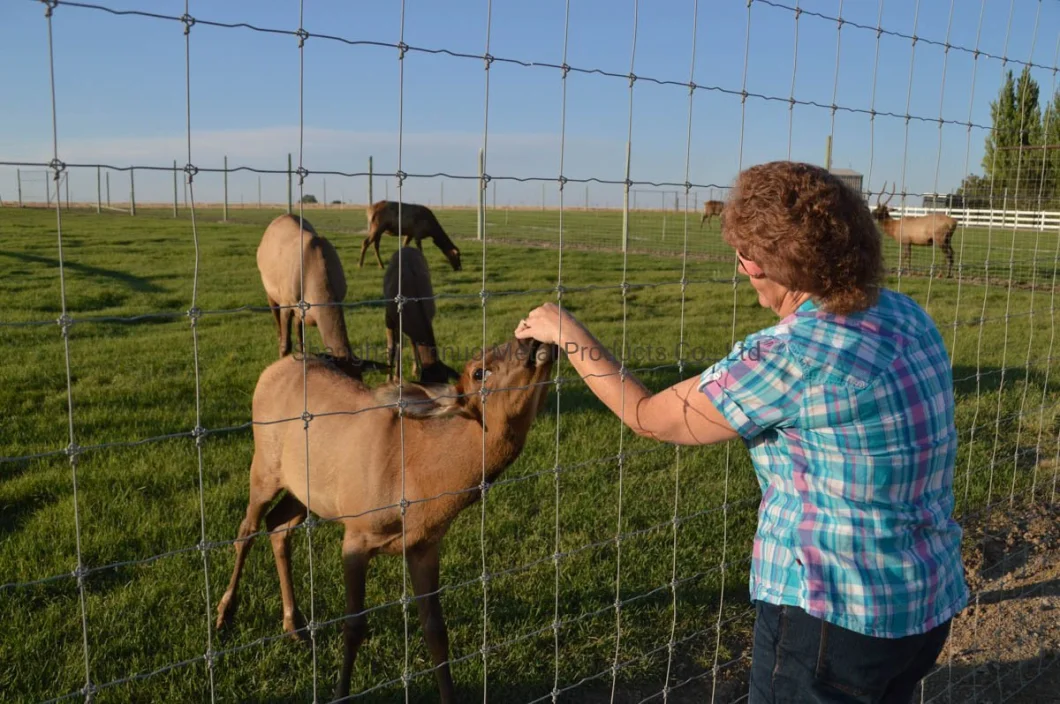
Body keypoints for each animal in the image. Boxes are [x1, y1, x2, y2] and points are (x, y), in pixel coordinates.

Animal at [211, 335, 559, 704]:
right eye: (480, 371)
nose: (532, 340)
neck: (420, 486)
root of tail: (272, 369)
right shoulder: (357, 534)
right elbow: (354, 626)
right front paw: (340, 693)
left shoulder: (425, 545)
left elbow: (436, 630)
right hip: (264, 463)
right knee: (246, 529)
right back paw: (224, 614)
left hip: (305, 489)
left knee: (278, 526)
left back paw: (295, 625)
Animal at [385, 245, 460, 385]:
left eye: (445, 381)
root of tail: (407, 247)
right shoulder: (389, 316)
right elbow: (392, 347)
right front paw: (390, 379)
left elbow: (409, 343)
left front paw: (413, 371)